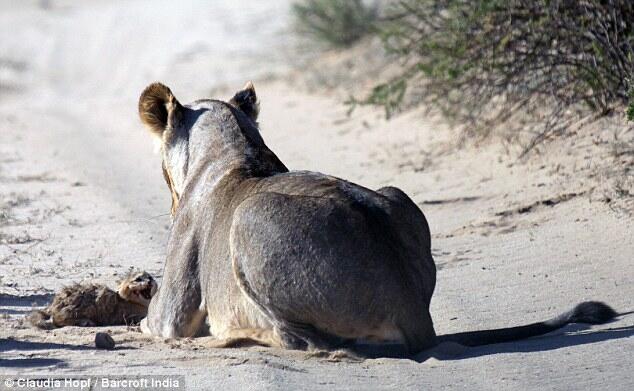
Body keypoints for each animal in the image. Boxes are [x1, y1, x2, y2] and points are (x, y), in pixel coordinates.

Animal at [28, 272, 158, 330]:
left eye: (150, 277)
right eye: (137, 279)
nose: (149, 281)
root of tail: (53, 303)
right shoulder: (128, 316)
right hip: (86, 306)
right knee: (56, 319)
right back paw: (85, 322)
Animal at [136, 82, 616, 356]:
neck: (236, 150)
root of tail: (416, 317)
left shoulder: (174, 309)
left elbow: (158, 319)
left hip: (249, 219)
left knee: (312, 342)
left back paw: (237, 335)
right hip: (395, 193)